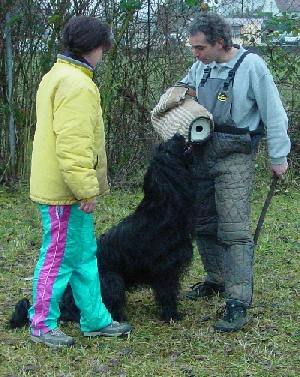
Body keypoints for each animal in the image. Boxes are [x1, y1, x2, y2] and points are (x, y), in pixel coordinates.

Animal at [9, 134, 195, 328]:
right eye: (167, 149)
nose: (178, 135)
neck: (163, 208)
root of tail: (63, 305)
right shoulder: (165, 269)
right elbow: (167, 294)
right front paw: (172, 315)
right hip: (113, 280)